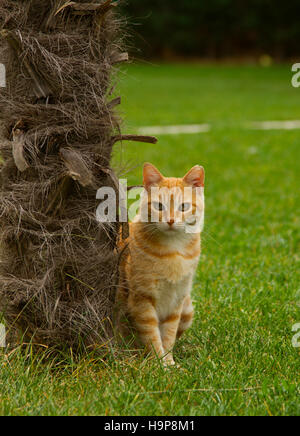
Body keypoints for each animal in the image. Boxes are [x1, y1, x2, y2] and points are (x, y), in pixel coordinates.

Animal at [116, 163, 205, 364]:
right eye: (159, 206)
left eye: (183, 207)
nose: (170, 220)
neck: (173, 251)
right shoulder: (142, 299)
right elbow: (152, 335)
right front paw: (159, 364)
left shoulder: (177, 300)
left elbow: (169, 335)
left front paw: (169, 361)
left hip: (188, 309)